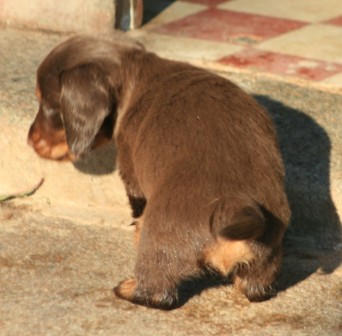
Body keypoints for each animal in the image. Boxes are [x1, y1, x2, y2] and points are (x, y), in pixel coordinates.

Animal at [27, 32, 292, 310]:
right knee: (256, 286)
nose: (29, 140)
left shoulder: (130, 168)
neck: (136, 71)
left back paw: (127, 288)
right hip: (268, 252)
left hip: (160, 241)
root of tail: (233, 207)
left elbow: (137, 206)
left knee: (157, 291)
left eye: (46, 103)